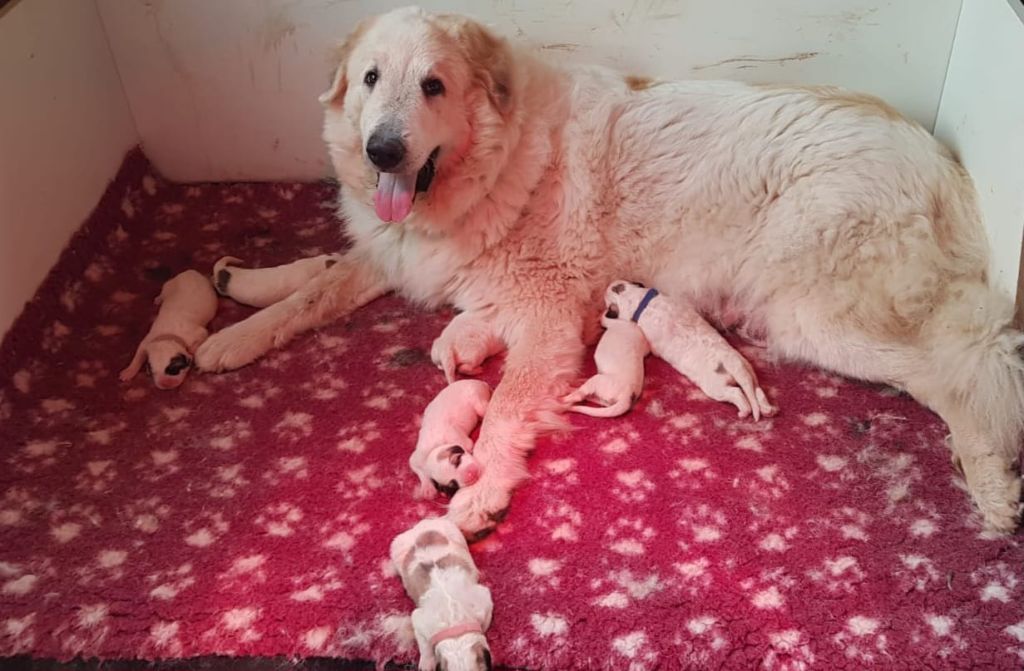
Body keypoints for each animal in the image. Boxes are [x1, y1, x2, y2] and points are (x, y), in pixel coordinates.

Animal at [387, 520, 491, 671]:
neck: (454, 623)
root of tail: (421, 525)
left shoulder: (484, 600)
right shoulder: (419, 619)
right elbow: (424, 644)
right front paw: (427, 662)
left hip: (454, 532)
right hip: (397, 546)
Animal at [598, 278, 774, 420]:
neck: (639, 299)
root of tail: (732, 363)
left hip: (715, 386)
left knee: (737, 394)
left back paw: (744, 411)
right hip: (749, 371)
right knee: (757, 390)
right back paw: (768, 410)